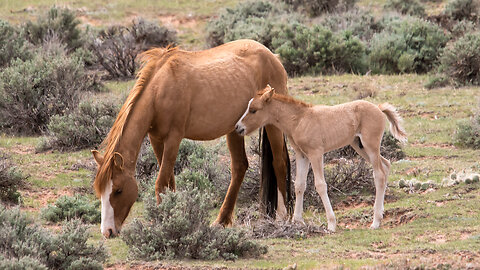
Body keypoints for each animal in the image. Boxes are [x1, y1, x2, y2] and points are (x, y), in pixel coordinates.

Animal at [92, 39, 290, 237]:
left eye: (118, 190)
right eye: (100, 192)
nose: (107, 231)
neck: (160, 89)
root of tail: (273, 57)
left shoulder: (174, 138)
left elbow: (161, 183)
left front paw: (161, 222)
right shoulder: (156, 139)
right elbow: (169, 181)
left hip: (272, 125)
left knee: (279, 163)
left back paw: (282, 216)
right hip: (234, 131)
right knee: (239, 167)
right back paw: (221, 220)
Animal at [234, 85, 406, 231]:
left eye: (254, 110)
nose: (238, 128)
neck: (299, 119)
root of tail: (378, 108)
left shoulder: (316, 153)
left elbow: (320, 185)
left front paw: (331, 224)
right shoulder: (302, 155)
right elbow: (299, 185)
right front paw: (297, 220)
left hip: (370, 146)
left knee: (379, 174)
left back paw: (375, 222)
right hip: (360, 146)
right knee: (386, 165)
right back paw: (380, 215)